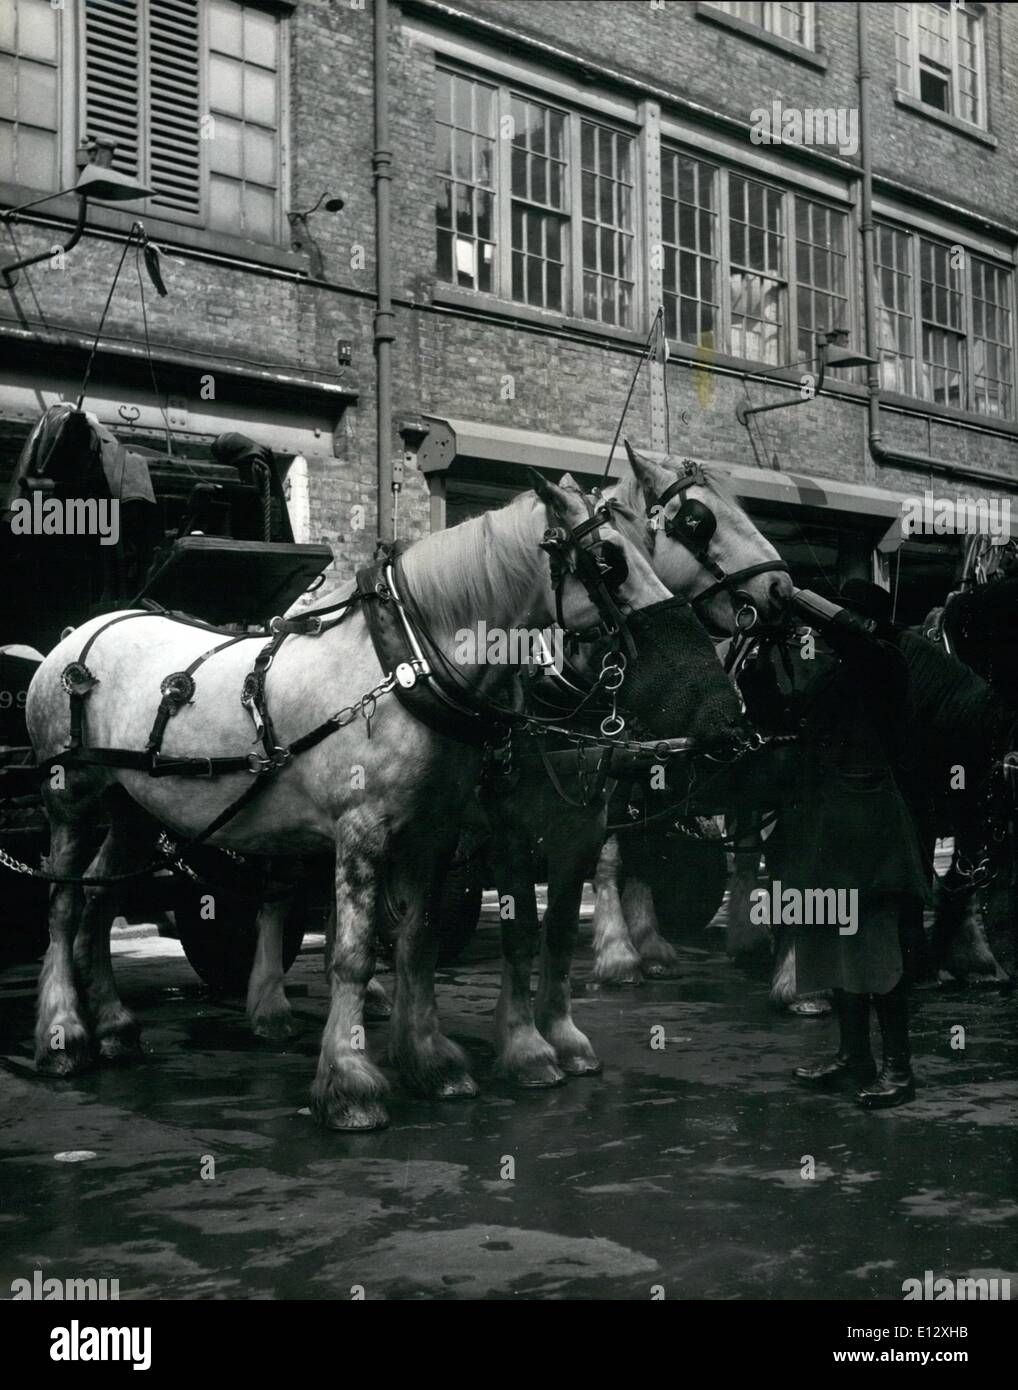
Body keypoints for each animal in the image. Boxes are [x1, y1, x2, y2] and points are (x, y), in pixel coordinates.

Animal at [27, 478, 745, 1128]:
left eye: (652, 550)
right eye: (609, 562)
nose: (723, 714)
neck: (404, 666)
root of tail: (82, 631)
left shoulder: (435, 831)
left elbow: (420, 940)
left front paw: (429, 1060)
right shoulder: (368, 829)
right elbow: (353, 952)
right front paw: (350, 1084)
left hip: (133, 809)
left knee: (99, 898)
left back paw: (115, 1026)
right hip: (70, 799)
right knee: (61, 904)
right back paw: (63, 1036)